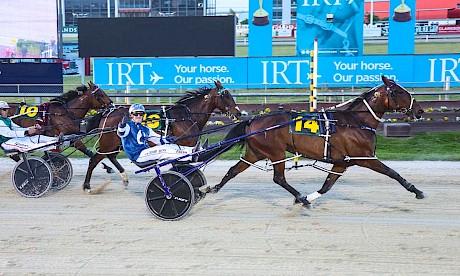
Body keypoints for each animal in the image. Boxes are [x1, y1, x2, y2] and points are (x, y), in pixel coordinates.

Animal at [83, 80, 243, 192]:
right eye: (226, 96)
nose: (238, 112)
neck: (186, 116)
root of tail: (107, 113)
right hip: (108, 143)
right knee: (94, 160)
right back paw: (87, 186)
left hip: (115, 144)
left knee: (110, 156)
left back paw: (124, 178)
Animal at [199, 75, 426, 209]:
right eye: (399, 91)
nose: (419, 110)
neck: (356, 122)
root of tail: (253, 120)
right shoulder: (365, 157)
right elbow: (392, 173)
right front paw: (416, 190)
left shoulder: (341, 163)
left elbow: (326, 186)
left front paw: (309, 198)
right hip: (276, 153)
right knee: (279, 178)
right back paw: (300, 197)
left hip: (255, 153)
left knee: (233, 171)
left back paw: (211, 190)